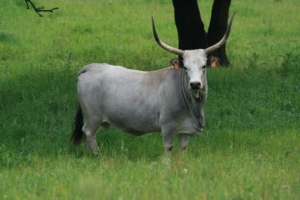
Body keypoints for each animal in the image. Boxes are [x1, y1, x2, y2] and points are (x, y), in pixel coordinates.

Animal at [71, 13, 236, 155]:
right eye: (186, 68)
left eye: (203, 67)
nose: (195, 84)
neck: (194, 107)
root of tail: (92, 66)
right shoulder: (168, 126)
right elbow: (168, 147)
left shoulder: (184, 130)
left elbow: (182, 149)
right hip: (93, 117)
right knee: (88, 133)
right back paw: (96, 155)